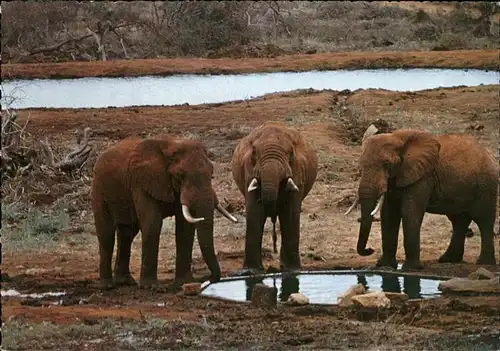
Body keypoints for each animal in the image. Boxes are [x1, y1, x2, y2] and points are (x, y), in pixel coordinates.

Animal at [92, 136, 238, 290]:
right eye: (180, 175)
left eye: (211, 173)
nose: (208, 279)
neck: (171, 145)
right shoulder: (141, 183)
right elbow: (152, 224)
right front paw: (150, 287)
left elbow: (185, 228)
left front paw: (184, 283)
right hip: (98, 189)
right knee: (106, 234)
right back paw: (107, 286)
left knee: (127, 234)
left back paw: (125, 282)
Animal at [229, 122, 316, 276]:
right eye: (254, 152)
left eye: (291, 153)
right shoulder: (249, 171)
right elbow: (255, 212)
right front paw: (250, 271)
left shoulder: (298, 171)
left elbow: (289, 213)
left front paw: (292, 270)